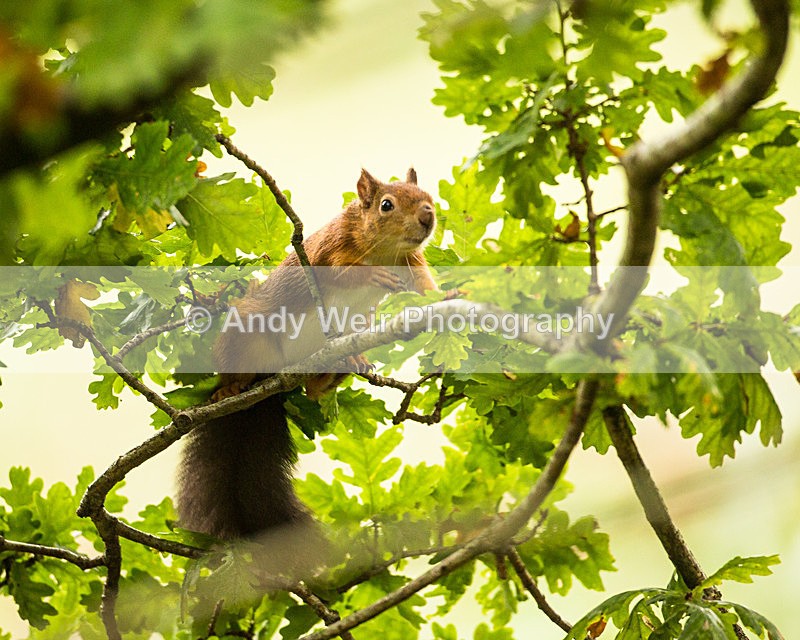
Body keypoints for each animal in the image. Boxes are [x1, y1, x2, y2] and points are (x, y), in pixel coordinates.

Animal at [176, 168, 437, 551]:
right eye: (386, 205)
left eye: (427, 196)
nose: (427, 216)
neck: (385, 249)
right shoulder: (327, 249)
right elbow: (339, 271)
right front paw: (369, 275)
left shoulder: (413, 265)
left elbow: (425, 286)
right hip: (245, 333)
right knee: (238, 366)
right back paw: (231, 387)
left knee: (314, 391)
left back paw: (344, 366)